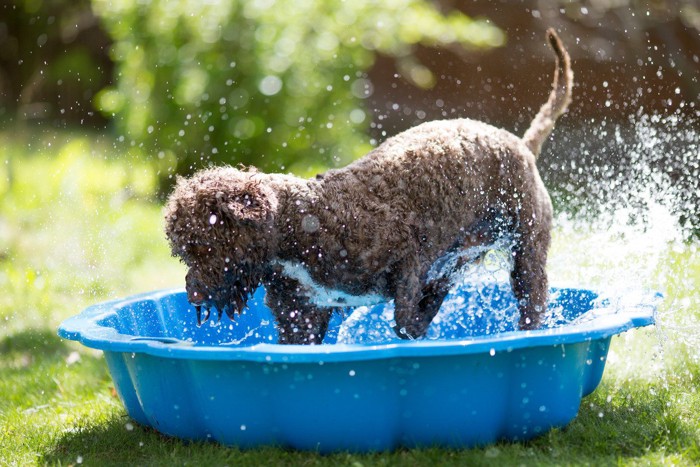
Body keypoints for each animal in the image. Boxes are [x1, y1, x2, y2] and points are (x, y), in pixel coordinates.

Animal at [165, 29, 576, 344]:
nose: (192, 292)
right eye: (182, 253)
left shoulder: (410, 263)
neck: (298, 223)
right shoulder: (300, 315)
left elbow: (410, 321)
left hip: (527, 252)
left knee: (531, 301)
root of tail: (521, 144)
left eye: (203, 245)